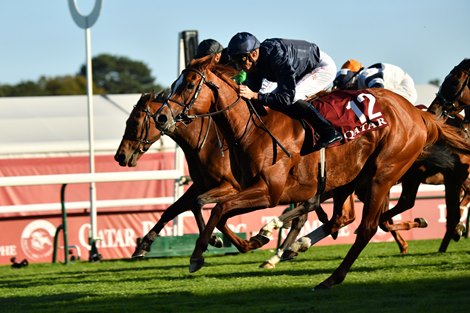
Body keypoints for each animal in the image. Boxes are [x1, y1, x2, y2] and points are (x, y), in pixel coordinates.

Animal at [154, 56, 470, 288]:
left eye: (189, 84)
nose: (161, 116)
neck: (254, 129)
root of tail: (420, 114)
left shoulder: (270, 191)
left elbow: (220, 208)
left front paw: (198, 256)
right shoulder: (255, 188)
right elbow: (215, 210)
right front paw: (252, 240)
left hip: (383, 174)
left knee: (367, 226)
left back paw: (332, 278)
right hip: (351, 179)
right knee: (344, 217)